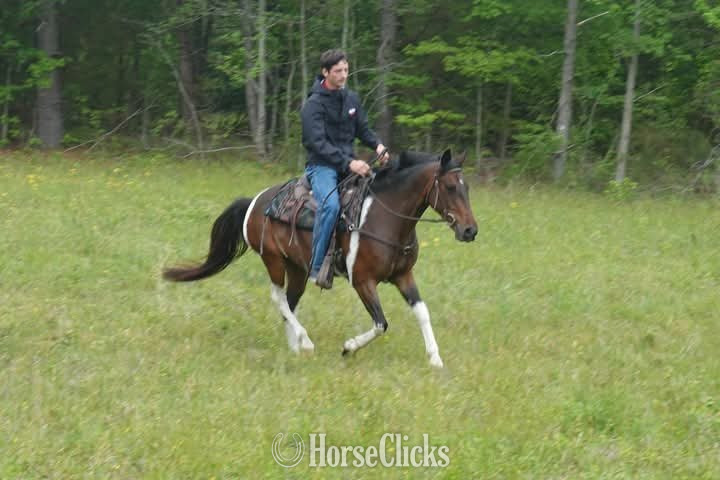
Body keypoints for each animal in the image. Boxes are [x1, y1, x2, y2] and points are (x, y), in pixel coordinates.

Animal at [162, 149, 478, 367]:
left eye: (467, 187)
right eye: (451, 187)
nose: (470, 230)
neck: (384, 217)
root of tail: (256, 201)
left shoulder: (403, 276)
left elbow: (422, 312)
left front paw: (435, 359)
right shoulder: (362, 281)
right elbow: (380, 323)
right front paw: (349, 347)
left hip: (297, 269)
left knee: (289, 302)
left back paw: (295, 347)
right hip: (273, 260)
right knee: (278, 298)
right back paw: (306, 342)